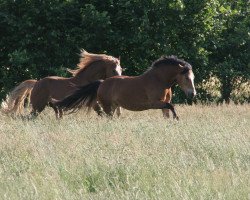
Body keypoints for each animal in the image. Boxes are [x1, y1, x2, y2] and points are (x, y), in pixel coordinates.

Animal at [53, 55, 196, 119]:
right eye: (187, 78)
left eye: (193, 77)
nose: (193, 94)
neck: (159, 80)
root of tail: (102, 83)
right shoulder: (155, 103)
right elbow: (172, 106)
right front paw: (177, 119)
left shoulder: (163, 104)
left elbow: (168, 111)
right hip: (107, 106)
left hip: (114, 106)